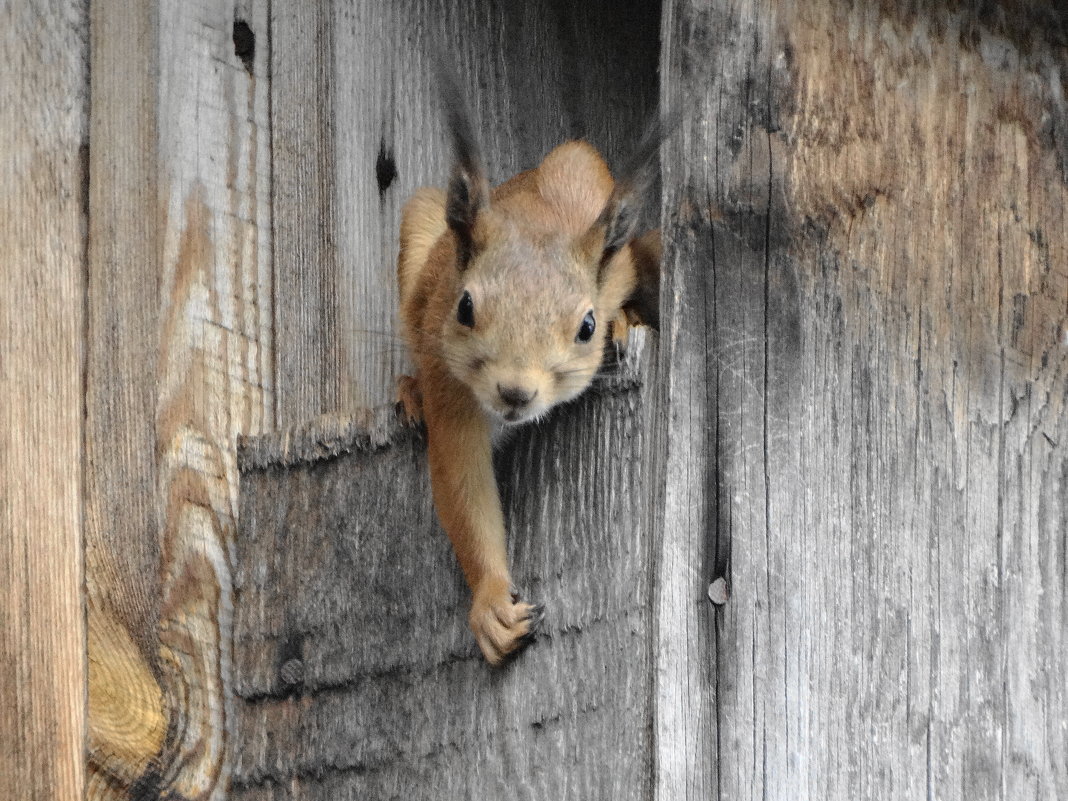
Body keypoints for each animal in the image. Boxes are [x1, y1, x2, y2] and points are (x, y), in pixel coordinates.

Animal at [397, 62, 662, 666]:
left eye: (585, 325)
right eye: (465, 307)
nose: (515, 393)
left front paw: (621, 321)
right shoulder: (450, 382)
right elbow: (461, 481)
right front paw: (493, 603)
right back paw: (407, 390)